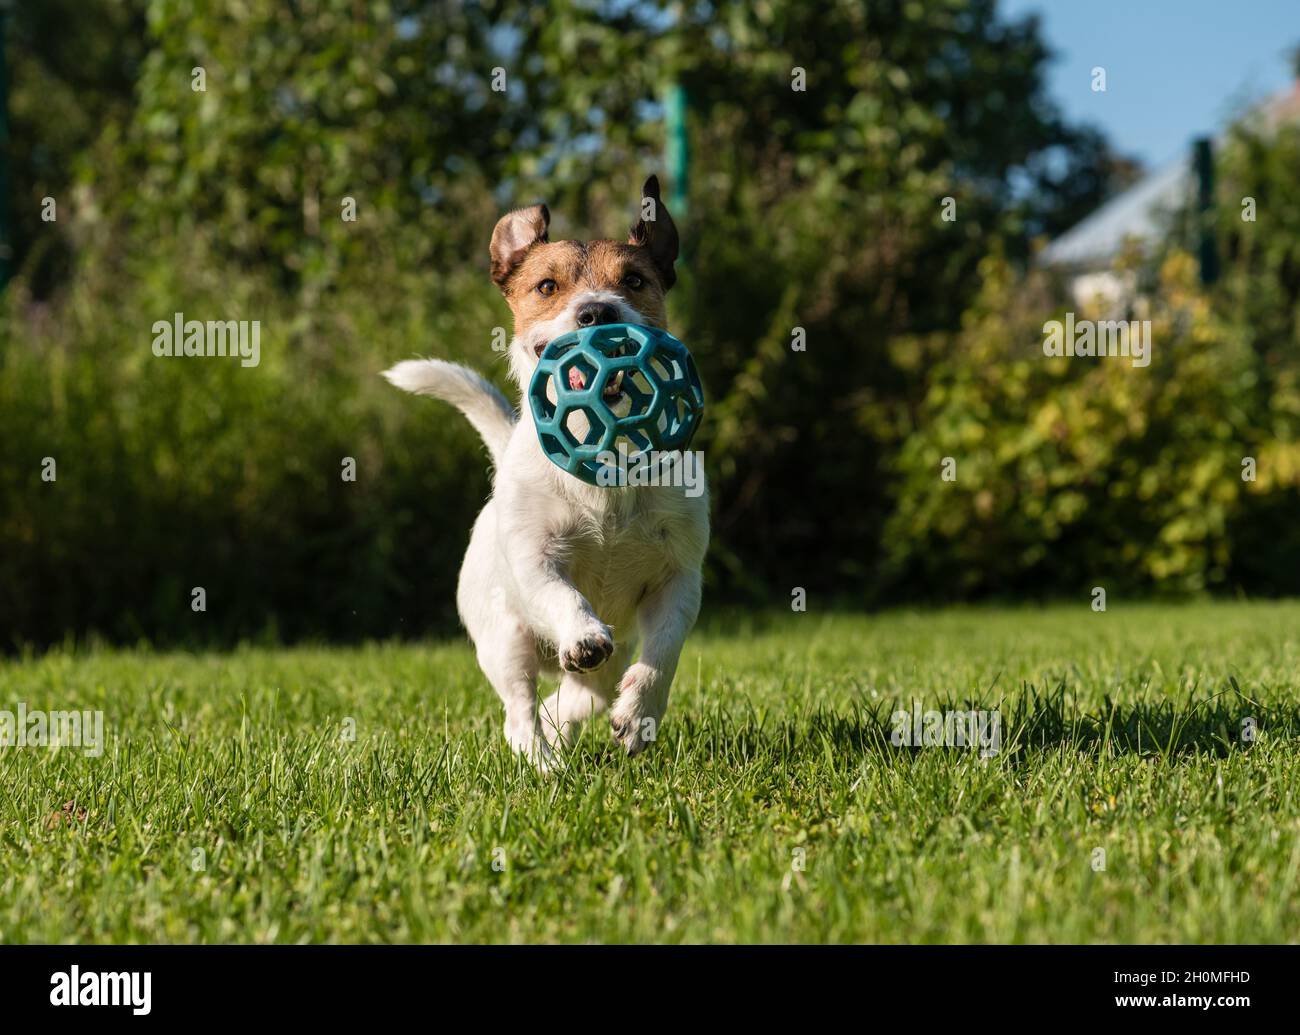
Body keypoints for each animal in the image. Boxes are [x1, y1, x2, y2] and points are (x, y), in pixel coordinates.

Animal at [382, 175, 707, 769]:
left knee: (580, 695)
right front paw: (582, 632)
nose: (597, 312)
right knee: (519, 711)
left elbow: (665, 650)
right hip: (505, 641)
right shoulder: (535, 557)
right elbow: (563, 594)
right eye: (547, 286)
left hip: (604, 662)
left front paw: (639, 716)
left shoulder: (678, 575)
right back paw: (542, 762)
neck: (604, 459)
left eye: (635, 281)